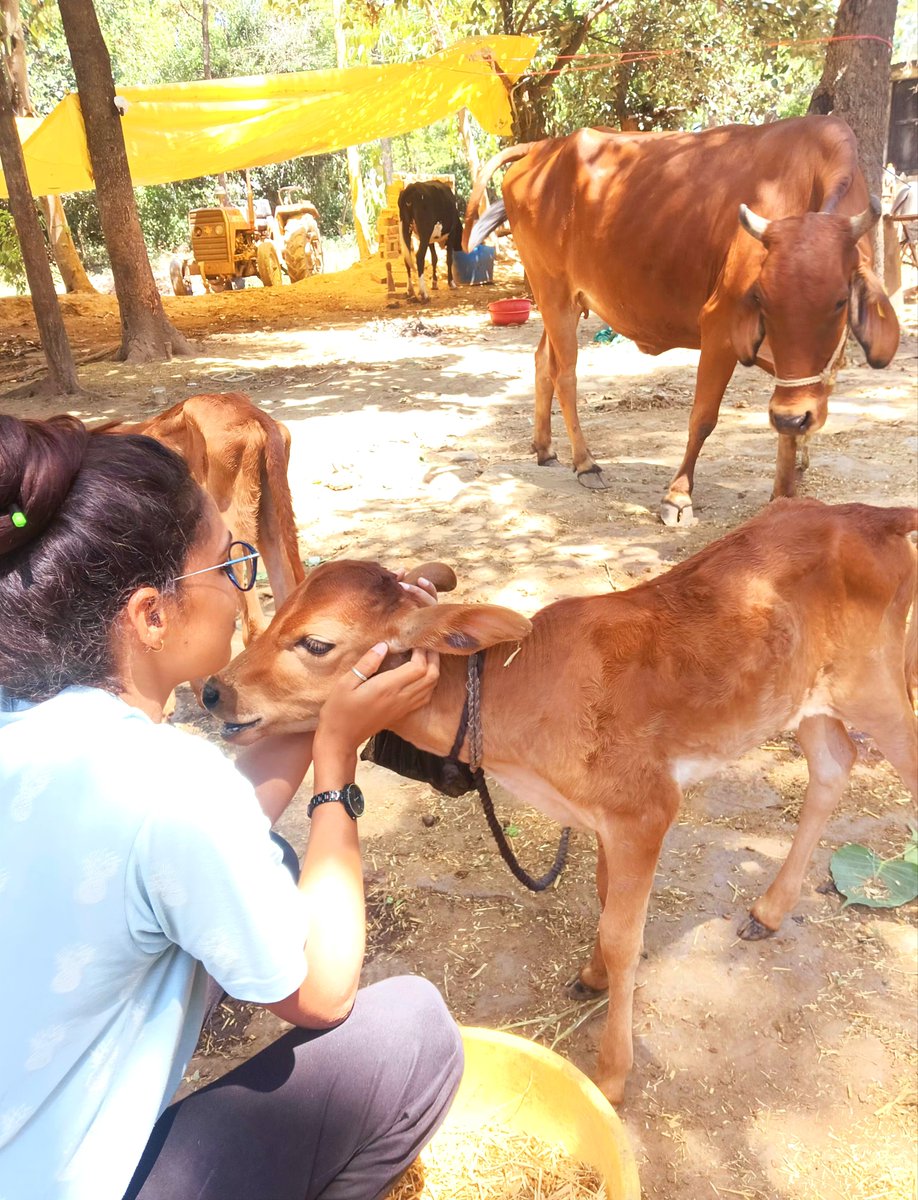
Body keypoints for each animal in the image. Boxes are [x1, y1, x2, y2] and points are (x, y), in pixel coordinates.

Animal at [200, 499, 916, 1104]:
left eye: (316, 643)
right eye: (278, 608)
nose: (213, 691)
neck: (518, 702)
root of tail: (869, 512)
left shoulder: (645, 809)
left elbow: (625, 936)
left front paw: (613, 1074)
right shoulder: (605, 820)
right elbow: (603, 903)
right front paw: (592, 975)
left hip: (878, 685)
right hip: (807, 699)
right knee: (834, 764)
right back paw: (768, 910)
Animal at [460, 114, 897, 523]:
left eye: (840, 301)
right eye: (762, 298)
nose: (793, 415)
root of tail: (544, 148)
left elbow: (788, 430)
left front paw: (784, 496)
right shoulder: (719, 327)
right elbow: (703, 418)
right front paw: (678, 496)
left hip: (561, 299)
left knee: (541, 361)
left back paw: (545, 448)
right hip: (553, 292)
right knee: (564, 373)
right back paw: (585, 463)